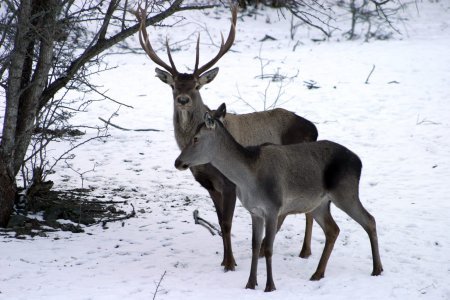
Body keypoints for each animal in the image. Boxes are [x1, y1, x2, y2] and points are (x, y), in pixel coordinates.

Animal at [135, 4, 318, 272]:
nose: (183, 99)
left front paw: (231, 264)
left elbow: (228, 223)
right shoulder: (210, 185)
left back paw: (302, 251)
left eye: (197, 86)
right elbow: (221, 222)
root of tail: (313, 129)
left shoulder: (230, 183)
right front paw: (224, 260)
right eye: (173, 86)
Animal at [176, 105, 384, 290]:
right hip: (319, 203)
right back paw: (318, 273)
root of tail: (359, 162)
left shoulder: (273, 208)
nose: (178, 162)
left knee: (370, 220)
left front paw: (270, 286)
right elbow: (255, 246)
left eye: (195, 138)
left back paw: (377, 269)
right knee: (333, 229)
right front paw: (250, 283)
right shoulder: (255, 211)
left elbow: (268, 248)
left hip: (346, 192)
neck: (248, 179)